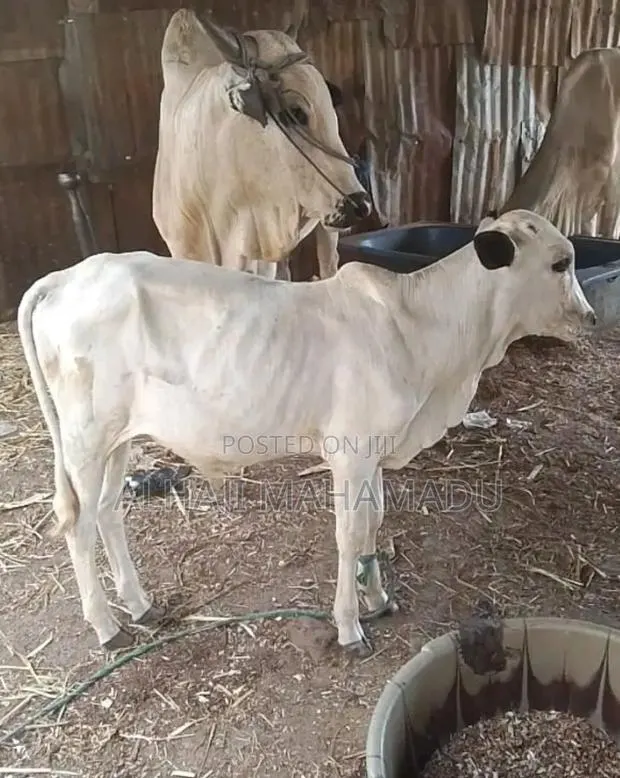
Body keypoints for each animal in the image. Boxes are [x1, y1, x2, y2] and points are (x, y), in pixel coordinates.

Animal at [17, 209, 595, 656]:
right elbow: (349, 534)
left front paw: (379, 599)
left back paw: (139, 605)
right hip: (86, 438)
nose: (590, 318)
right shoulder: (351, 452)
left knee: (107, 511)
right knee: (78, 523)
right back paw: (107, 626)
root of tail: (67, 276)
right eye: (560, 262)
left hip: (118, 438)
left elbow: (373, 523)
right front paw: (349, 626)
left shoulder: (374, 451)